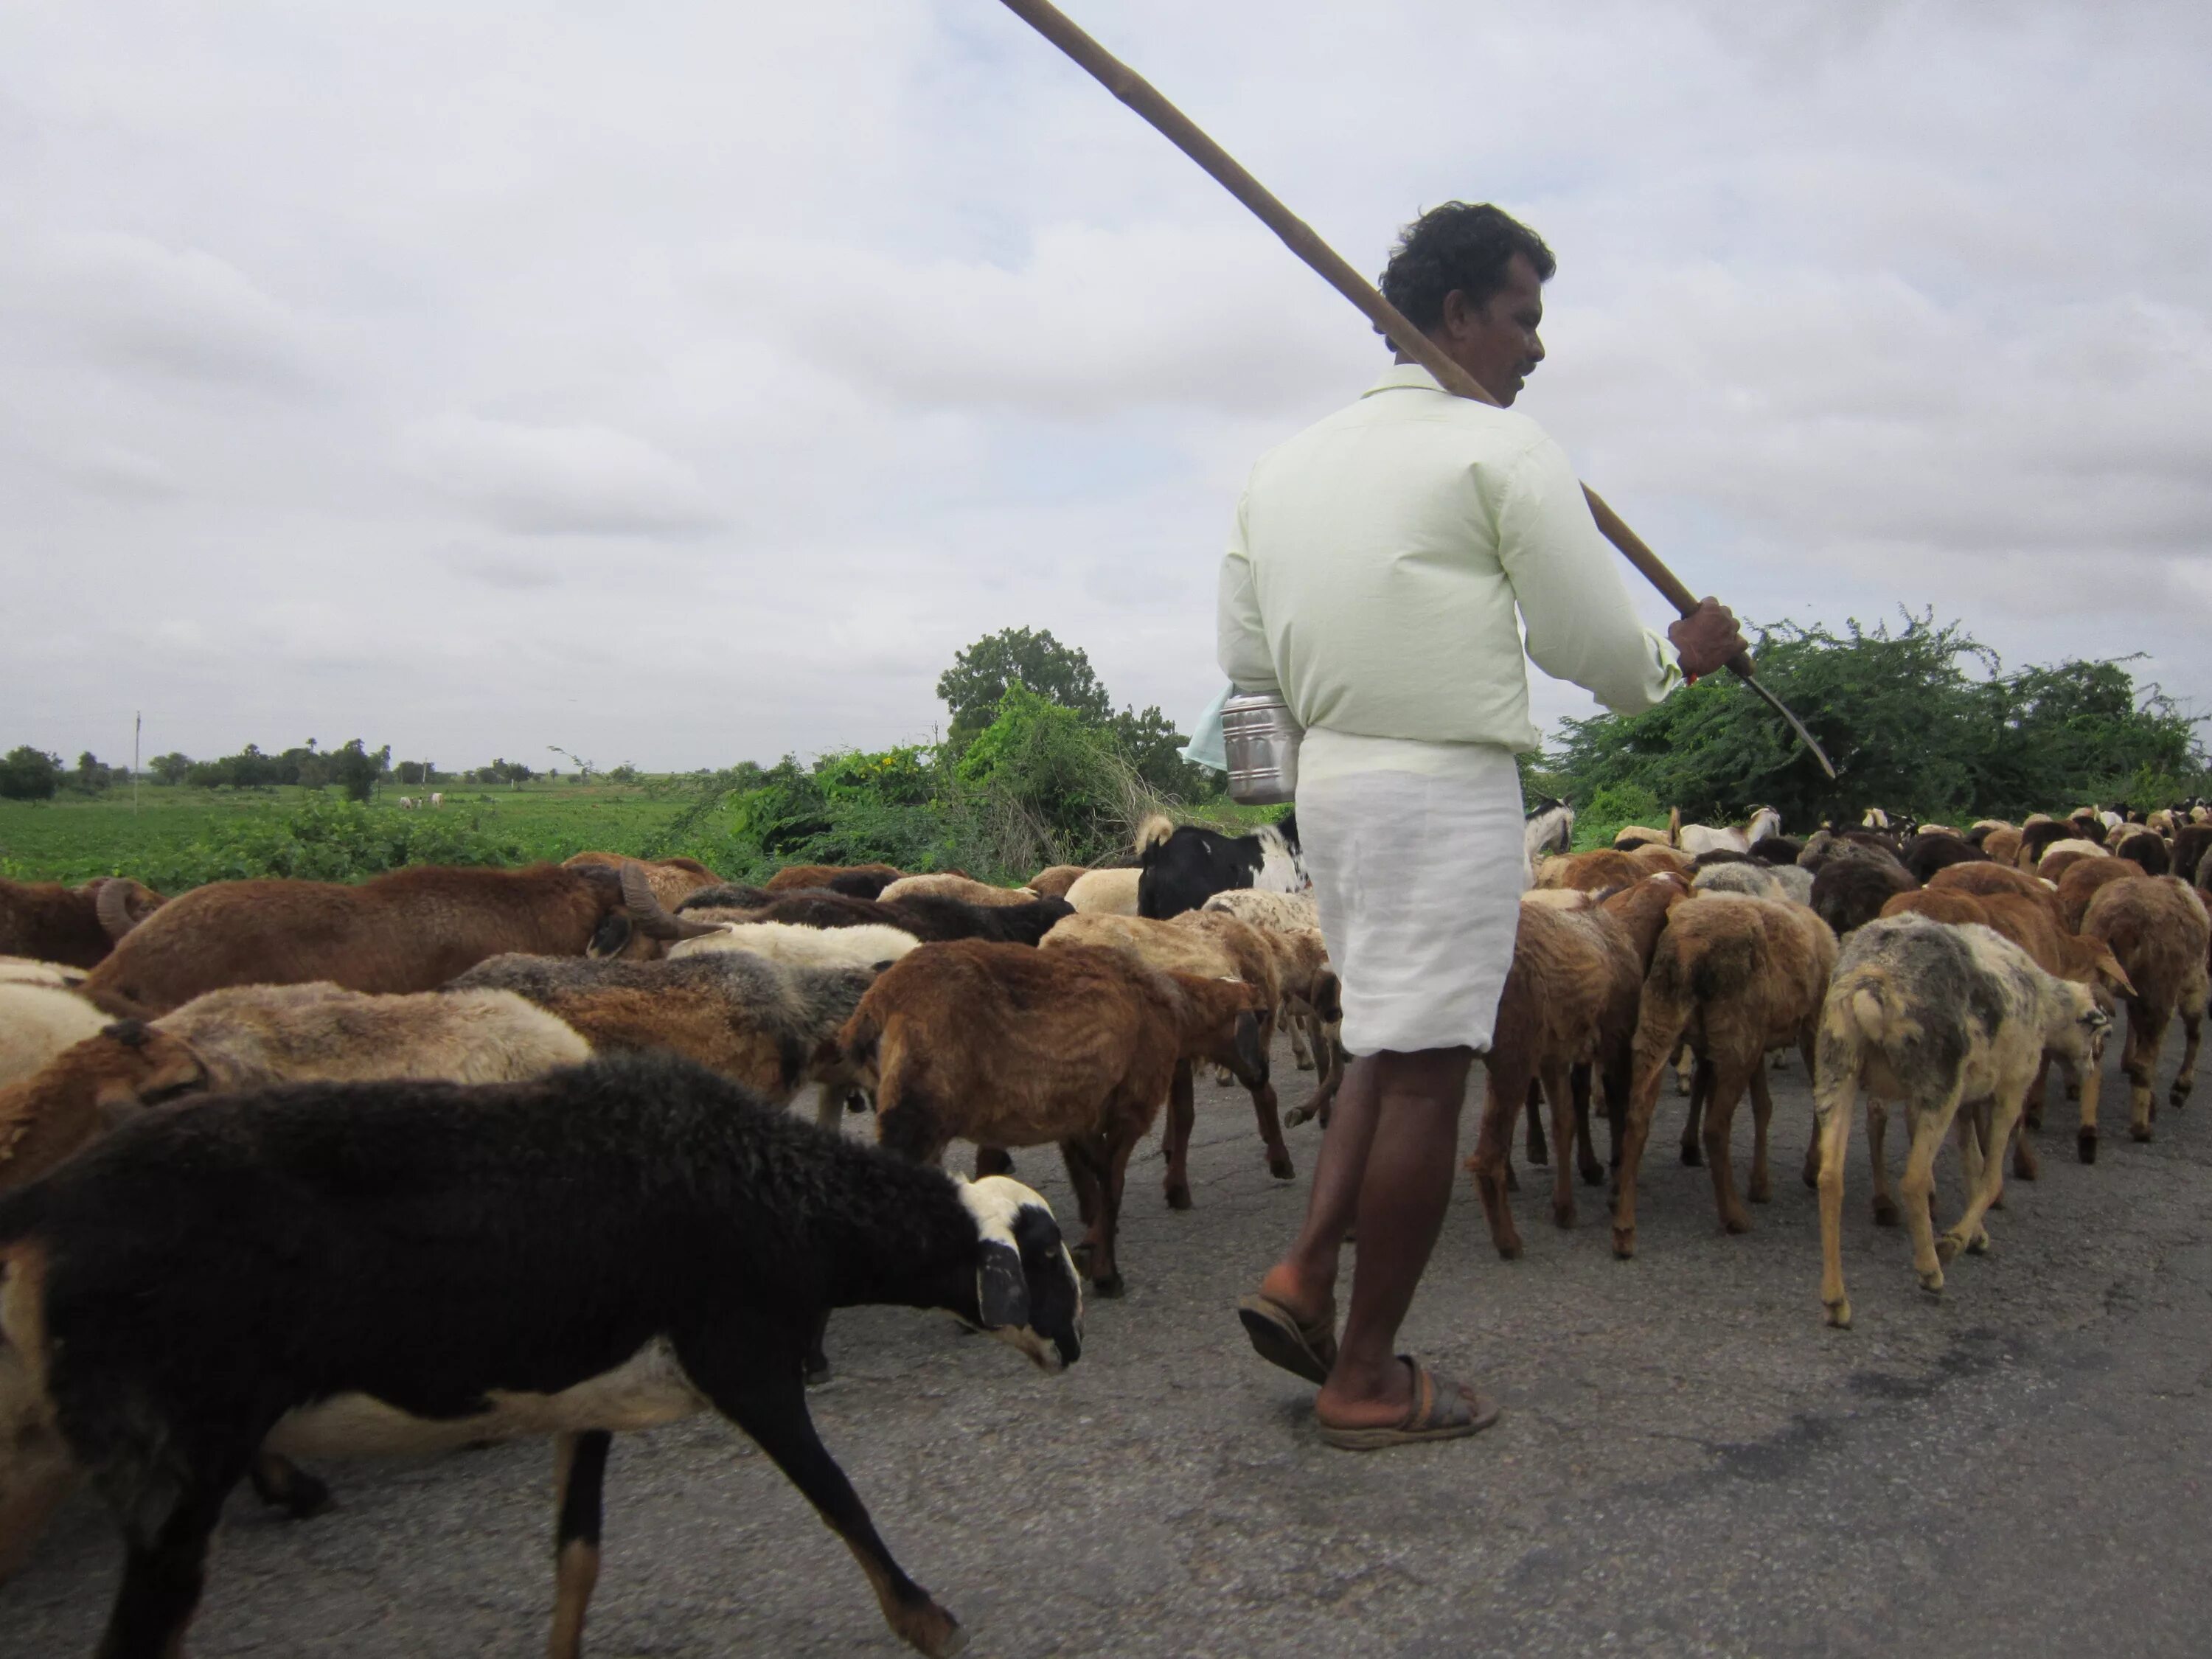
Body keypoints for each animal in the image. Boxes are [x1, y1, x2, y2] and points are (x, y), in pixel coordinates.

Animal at [841, 947, 1274, 1301]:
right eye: (1261, 1018)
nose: (1262, 1075)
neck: (1175, 1010)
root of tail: (877, 1005)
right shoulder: (1130, 1107)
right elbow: (1114, 1185)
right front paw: (1106, 1273)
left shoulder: (1082, 1114)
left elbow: (1097, 1180)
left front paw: (1092, 1249)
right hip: (916, 1116)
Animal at [1610, 898, 1832, 1256]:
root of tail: (1689, 947)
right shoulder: (1811, 1022)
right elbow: (1812, 1097)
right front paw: (1811, 1168)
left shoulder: (1753, 1040)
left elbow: (1763, 1106)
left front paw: (1760, 1184)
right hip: (1736, 1034)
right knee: (1715, 1128)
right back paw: (1733, 1216)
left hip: (1661, 1020)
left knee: (1638, 1119)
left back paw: (1624, 1229)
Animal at [2079, 885, 2203, 1159]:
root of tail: (2122, 926)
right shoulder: (2193, 986)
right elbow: (2194, 1033)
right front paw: (2180, 1090)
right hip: (2158, 993)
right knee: (2146, 1061)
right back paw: (2141, 1129)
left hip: (2101, 980)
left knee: (2095, 1052)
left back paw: (2088, 1133)